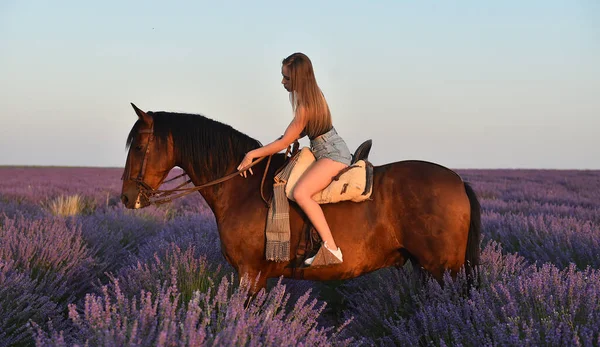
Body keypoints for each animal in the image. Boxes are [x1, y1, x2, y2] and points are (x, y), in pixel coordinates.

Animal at [122, 103, 482, 294]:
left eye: (138, 146)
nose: (127, 198)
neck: (240, 190)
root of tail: (458, 180)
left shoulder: (250, 275)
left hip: (444, 270)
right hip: (428, 269)